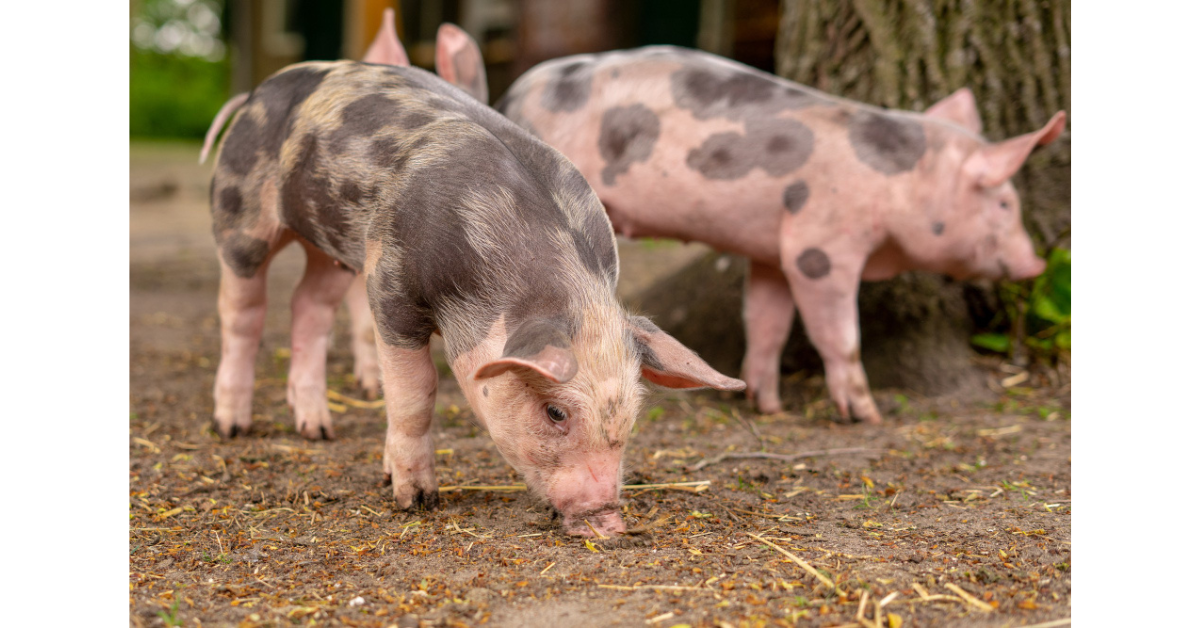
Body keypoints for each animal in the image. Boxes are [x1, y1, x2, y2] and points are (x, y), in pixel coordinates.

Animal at [199, 55, 744, 536]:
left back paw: (317, 429)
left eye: (631, 411)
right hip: (240, 217)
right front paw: (415, 499)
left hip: (330, 246)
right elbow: (414, 393)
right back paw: (231, 426)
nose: (608, 521)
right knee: (242, 313)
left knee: (308, 306)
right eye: (556, 412)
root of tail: (255, 94)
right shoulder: (389, 285)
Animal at [477, 46, 1065, 424]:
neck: (901, 181)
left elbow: (767, 323)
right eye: (1005, 202)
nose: (1037, 263)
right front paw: (867, 416)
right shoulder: (818, 247)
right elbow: (840, 336)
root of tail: (513, 96)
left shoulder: (771, 254)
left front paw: (766, 404)